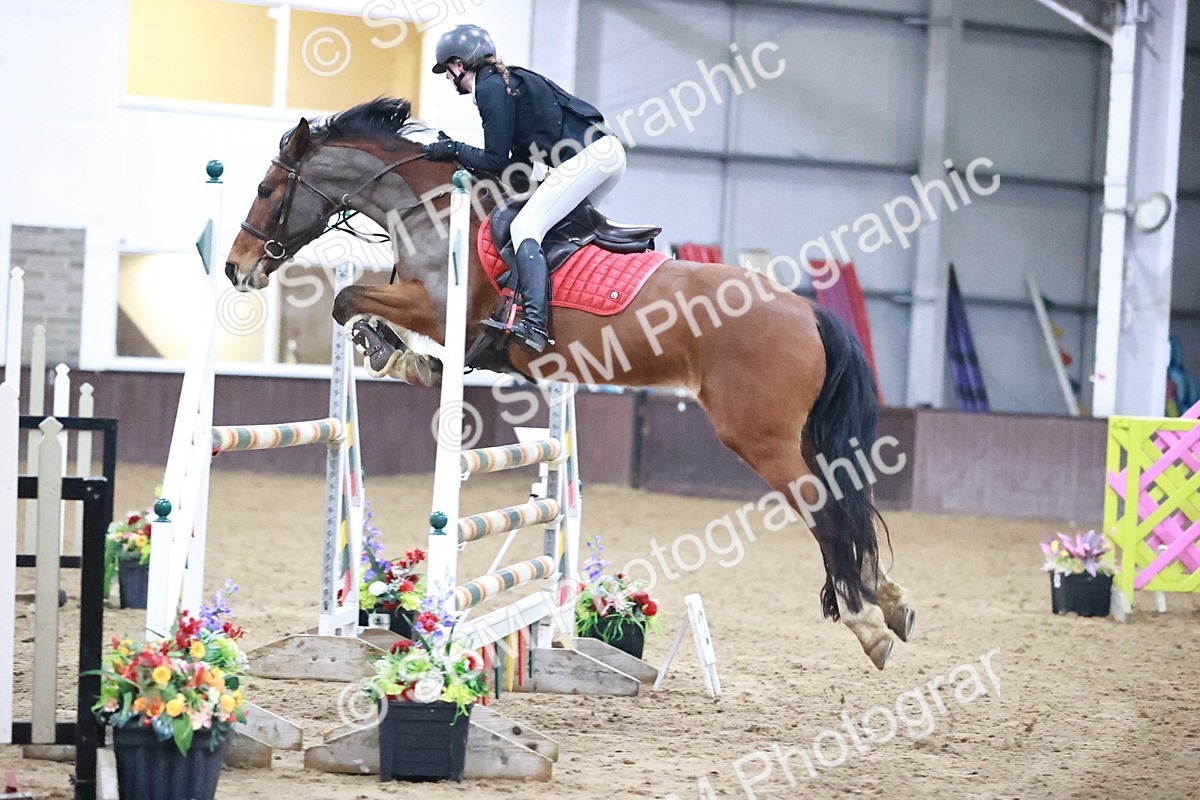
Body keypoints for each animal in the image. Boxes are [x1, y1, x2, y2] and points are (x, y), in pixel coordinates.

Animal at [224, 98, 914, 669]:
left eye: (265, 188)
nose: (235, 268)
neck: (431, 212)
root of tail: (807, 311)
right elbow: (357, 304)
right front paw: (409, 360)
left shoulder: (440, 309)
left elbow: (347, 299)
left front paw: (398, 356)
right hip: (793, 435)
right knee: (843, 498)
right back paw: (893, 602)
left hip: (759, 437)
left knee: (824, 508)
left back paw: (868, 624)